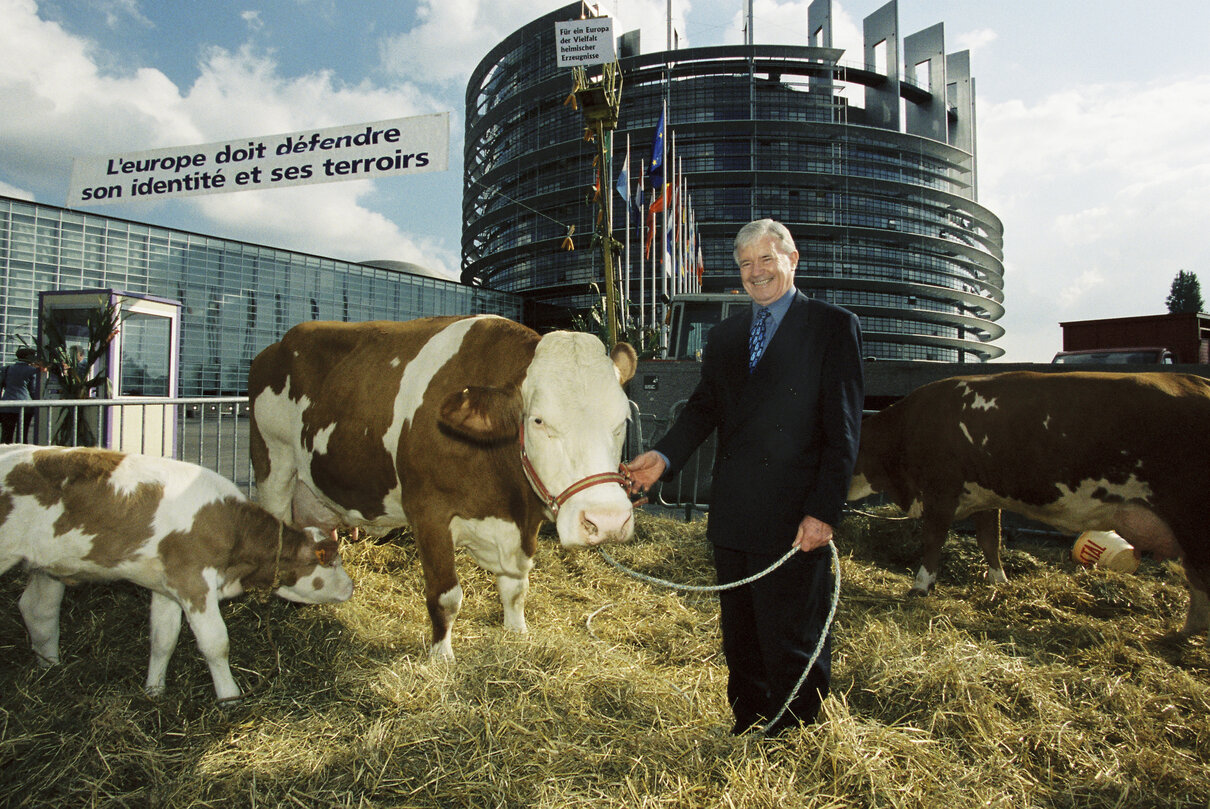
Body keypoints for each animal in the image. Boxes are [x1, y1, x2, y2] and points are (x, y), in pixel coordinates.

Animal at [0, 445, 355, 696]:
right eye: (329, 561)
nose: (351, 586)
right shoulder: (192, 581)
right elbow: (216, 642)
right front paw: (229, 696)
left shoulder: (166, 586)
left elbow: (163, 638)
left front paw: (154, 691)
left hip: (45, 567)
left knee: (37, 610)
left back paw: (50, 669)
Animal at [249, 311, 638, 657]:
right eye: (539, 420)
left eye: (623, 421)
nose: (606, 521)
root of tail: (276, 346)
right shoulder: (429, 513)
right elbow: (445, 596)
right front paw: (442, 657)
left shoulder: (521, 525)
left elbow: (516, 588)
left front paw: (518, 634)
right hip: (273, 462)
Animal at [851, 370, 1210, 638]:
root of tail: (1198, 382)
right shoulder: (983, 495)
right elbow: (990, 540)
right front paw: (999, 582)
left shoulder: (941, 490)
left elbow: (933, 539)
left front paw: (921, 586)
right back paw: (1185, 632)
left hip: (1192, 518)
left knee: (1200, 577)